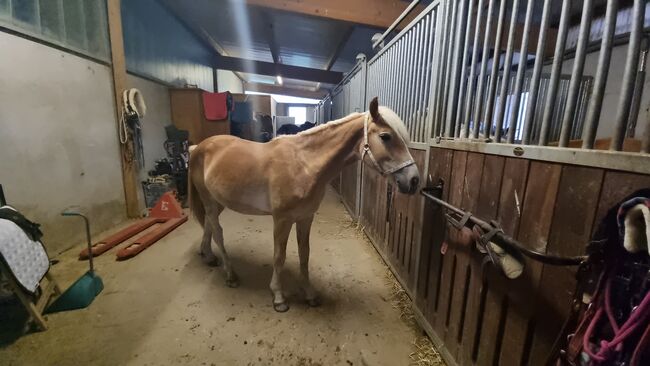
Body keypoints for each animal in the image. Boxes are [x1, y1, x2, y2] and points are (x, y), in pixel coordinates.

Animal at [189, 96, 420, 312]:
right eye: (385, 136)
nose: (414, 180)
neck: (303, 164)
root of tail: (198, 147)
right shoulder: (282, 220)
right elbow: (279, 256)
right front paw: (279, 297)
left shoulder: (305, 217)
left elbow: (304, 254)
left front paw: (309, 294)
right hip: (209, 200)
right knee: (218, 232)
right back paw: (230, 275)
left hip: (218, 201)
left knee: (208, 224)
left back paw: (208, 256)